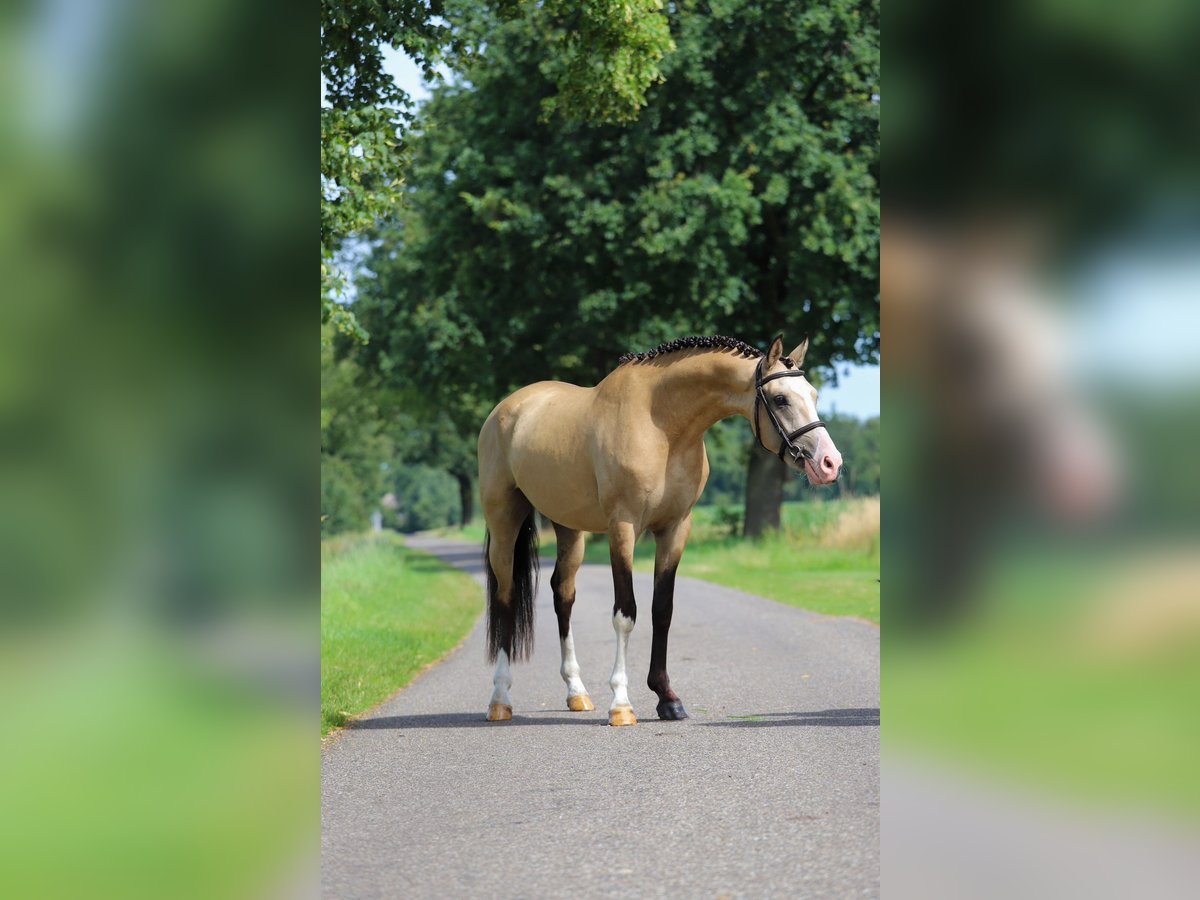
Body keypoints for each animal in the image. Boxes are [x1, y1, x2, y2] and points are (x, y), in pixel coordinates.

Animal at [472, 336, 840, 724]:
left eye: (813, 394)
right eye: (781, 399)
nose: (830, 464)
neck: (660, 425)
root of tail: (507, 409)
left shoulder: (675, 529)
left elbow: (662, 610)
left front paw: (667, 698)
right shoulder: (623, 527)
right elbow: (626, 614)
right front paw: (621, 703)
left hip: (568, 527)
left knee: (563, 594)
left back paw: (577, 692)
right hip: (503, 520)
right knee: (506, 597)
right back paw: (500, 698)